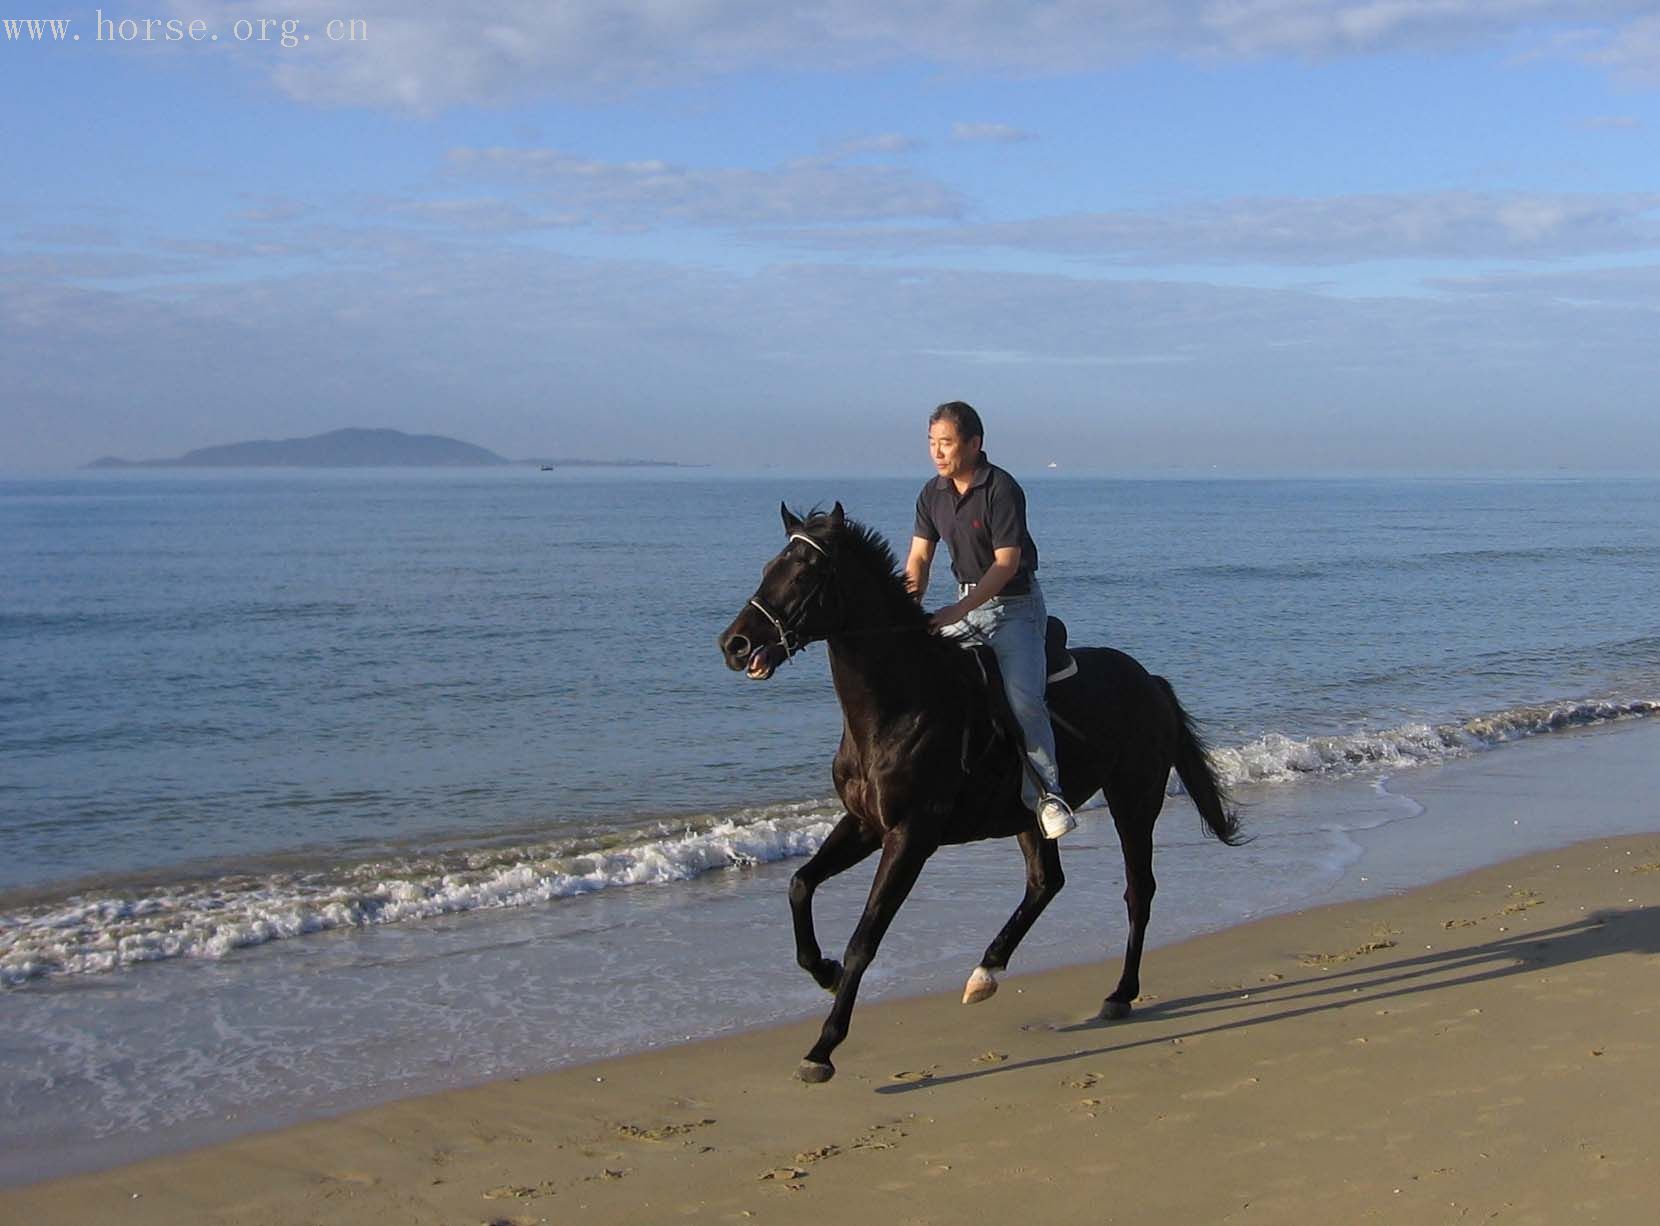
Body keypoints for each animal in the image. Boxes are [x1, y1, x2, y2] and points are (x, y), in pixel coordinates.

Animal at [717, 504, 1248, 1081]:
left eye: (804, 572)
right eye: (770, 565)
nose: (734, 644)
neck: (901, 704)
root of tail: (1150, 681)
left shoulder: (911, 837)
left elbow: (864, 939)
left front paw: (823, 1047)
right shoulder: (865, 824)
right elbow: (799, 885)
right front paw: (824, 971)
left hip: (1134, 799)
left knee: (1138, 891)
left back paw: (1120, 993)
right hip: (1030, 816)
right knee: (1046, 882)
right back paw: (986, 971)